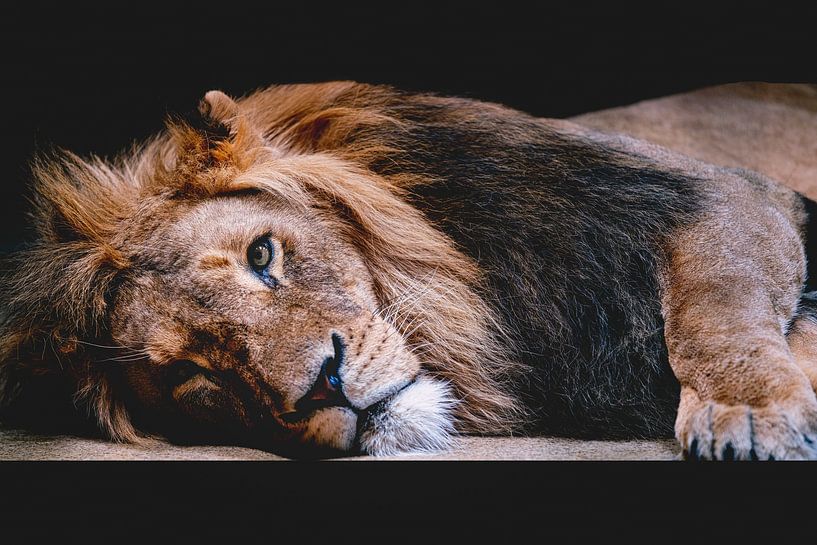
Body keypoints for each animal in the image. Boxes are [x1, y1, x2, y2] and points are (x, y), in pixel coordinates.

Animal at [2, 81, 817, 459]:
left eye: (262, 255)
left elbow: (716, 299)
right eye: (192, 379)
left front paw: (747, 413)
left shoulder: (730, 192)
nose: (321, 389)